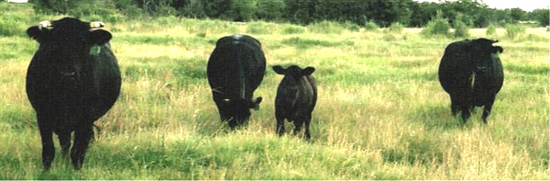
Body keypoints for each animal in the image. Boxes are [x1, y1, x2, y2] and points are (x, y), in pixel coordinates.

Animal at [26, 17, 122, 170]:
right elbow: (48, 151)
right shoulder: (42, 115)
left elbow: (78, 151)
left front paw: (76, 171)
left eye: (82, 42)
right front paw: (46, 172)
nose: (67, 74)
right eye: (54, 43)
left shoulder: (87, 118)